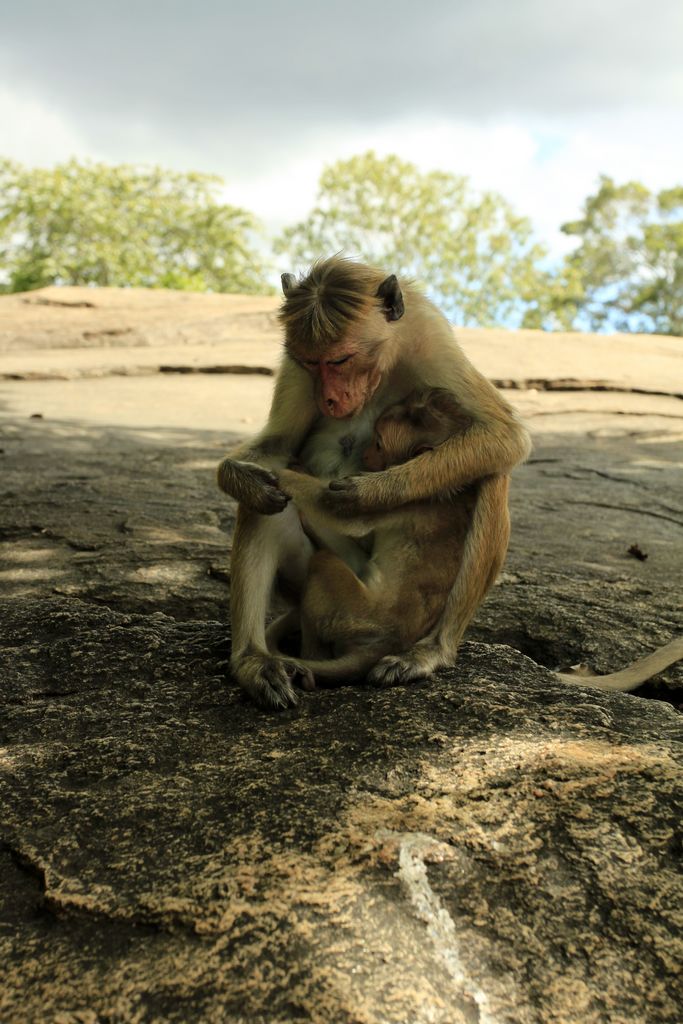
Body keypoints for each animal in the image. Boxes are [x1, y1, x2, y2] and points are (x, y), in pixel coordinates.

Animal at [272, 387, 501, 684]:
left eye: (379, 444)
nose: (367, 456)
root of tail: (390, 641)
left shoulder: (400, 498)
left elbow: (345, 518)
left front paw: (283, 474)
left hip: (355, 615)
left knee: (324, 562)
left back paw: (312, 660)